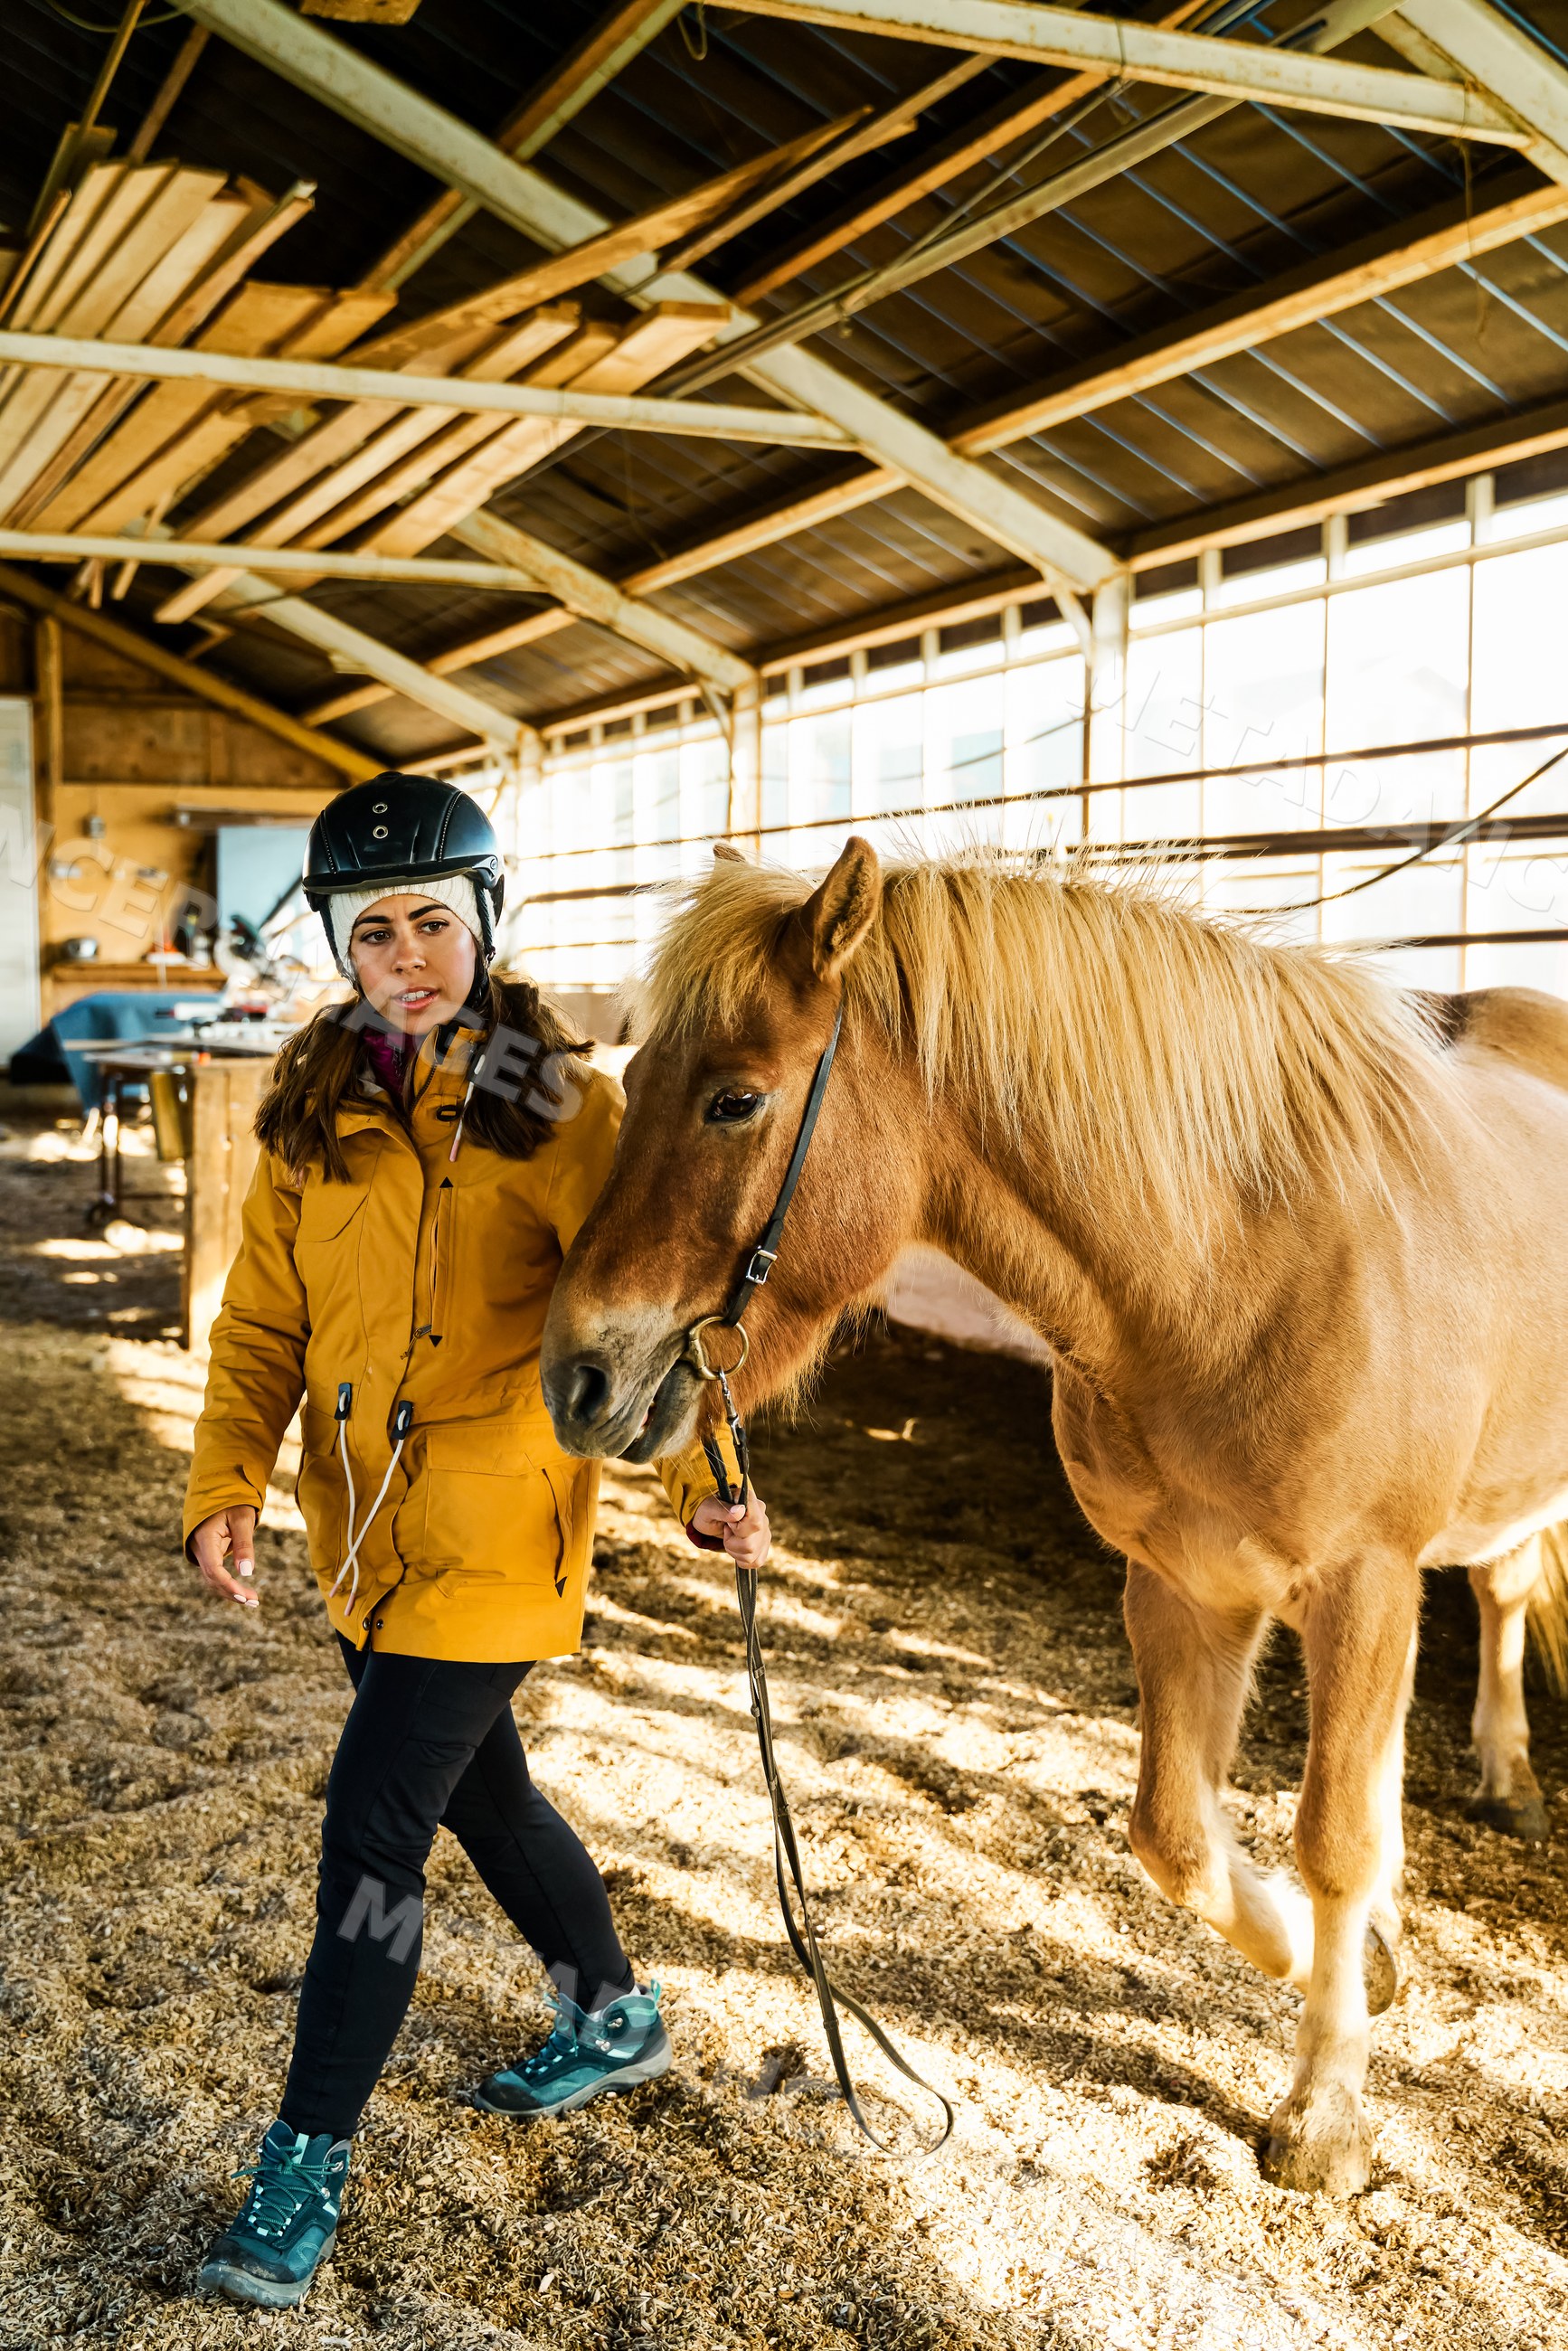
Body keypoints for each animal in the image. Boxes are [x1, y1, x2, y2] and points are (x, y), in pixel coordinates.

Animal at [540, 837, 1568, 2198]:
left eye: (733, 1099)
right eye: (636, 1074)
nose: (573, 1376)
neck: (1236, 1269)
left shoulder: (1363, 1582)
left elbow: (1333, 1839)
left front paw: (1325, 2111)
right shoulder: (1181, 1585)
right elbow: (1177, 1837)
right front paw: (1355, 1966)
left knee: (1500, 1594)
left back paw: (1507, 1775)